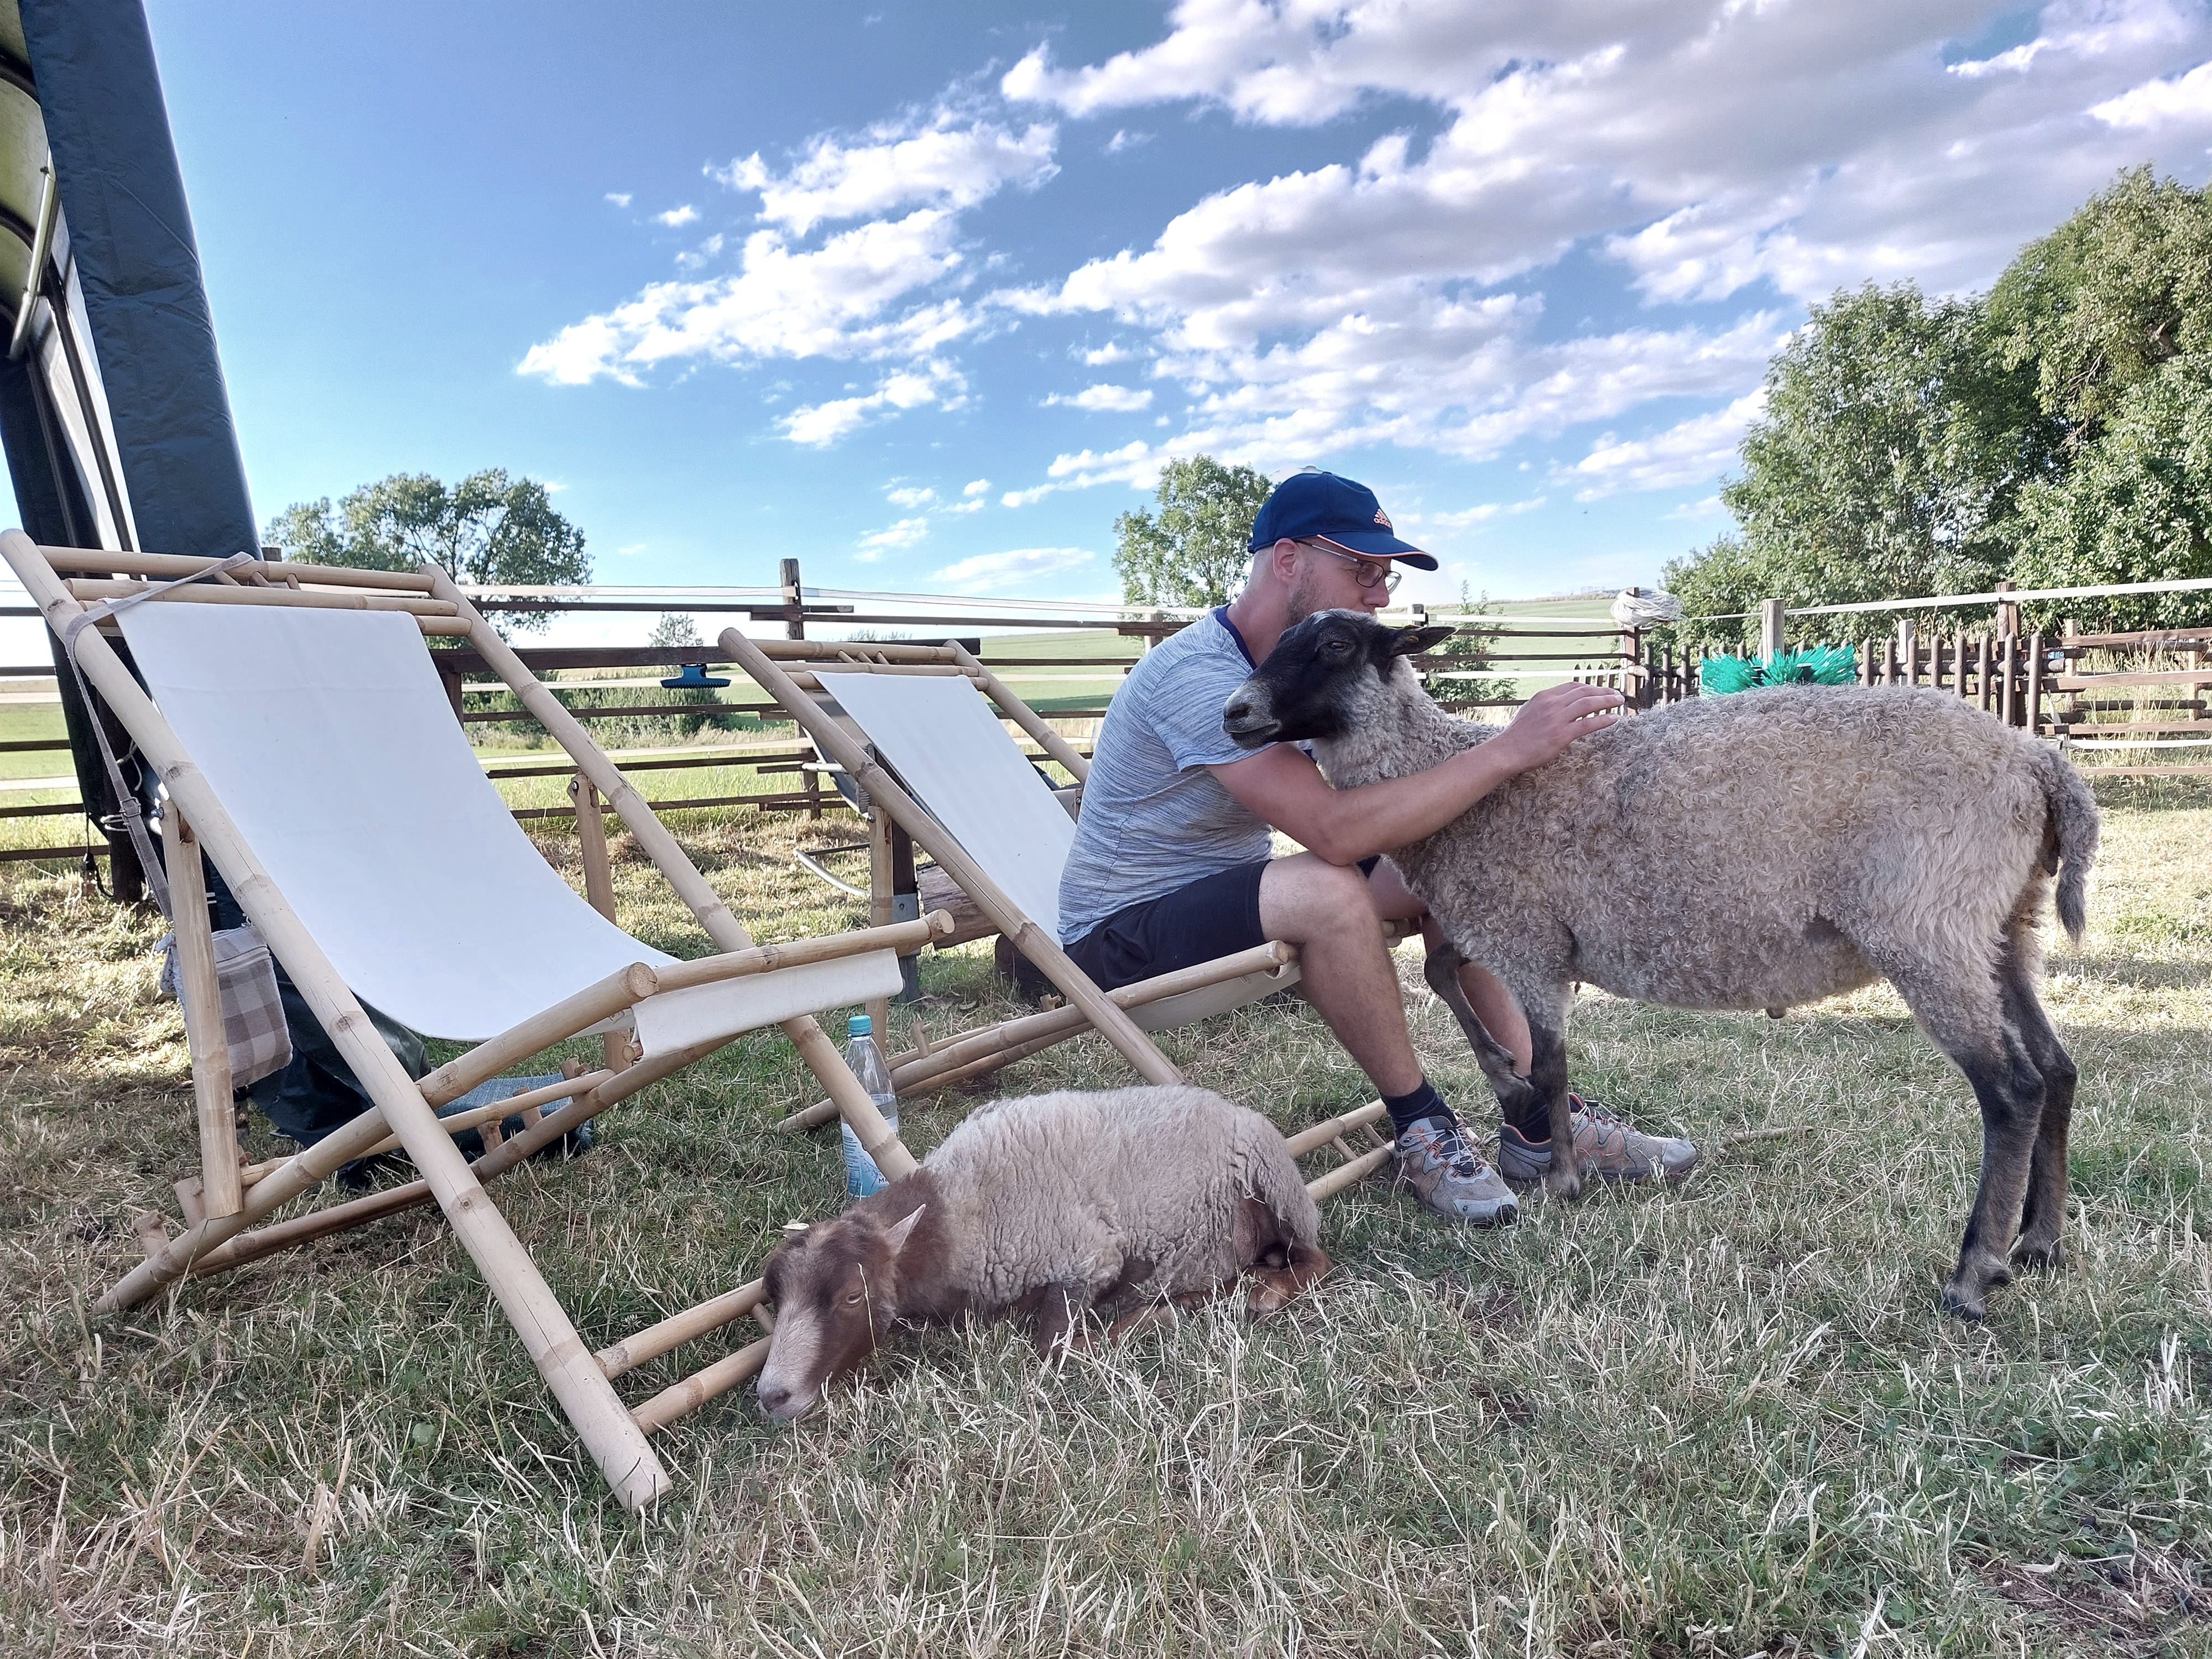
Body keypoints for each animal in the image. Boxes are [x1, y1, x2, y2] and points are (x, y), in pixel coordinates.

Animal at [754, 1085, 1328, 1421]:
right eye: (775, 1297)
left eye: (853, 1296)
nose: (771, 1396)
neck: (957, 1211)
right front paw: (1154, 1314)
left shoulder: (1087, 1258)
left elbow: (1053, 1346)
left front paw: (1140, 1323)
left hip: (1278, 1189)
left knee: (1317, 1261)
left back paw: (1260, 1295)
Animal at [1221, 610, 2100, 1321]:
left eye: (1335, 646)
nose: (1234, 712)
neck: (1452, 779)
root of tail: (2036, 762)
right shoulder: (1499, 923)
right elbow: (1444, 978)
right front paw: (1507, 1080)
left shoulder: (1528, 935)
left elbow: (1551, 1062)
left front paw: (1562, 1179)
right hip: (2000, 928)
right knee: (2057, 1069)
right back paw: (2040, 1243)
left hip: (1928, 925)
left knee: (2012, 1089)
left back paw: (1974, 1273)